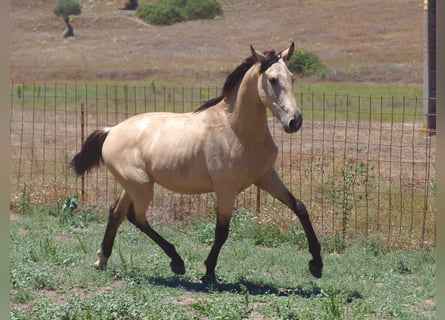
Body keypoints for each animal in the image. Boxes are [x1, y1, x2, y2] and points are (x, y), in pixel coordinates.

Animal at [72, 42, 322, 282]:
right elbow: (222, 231)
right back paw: (176, 262)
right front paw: (209, 272)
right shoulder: (226, 190)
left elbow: (300, 208)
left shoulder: (266, 177)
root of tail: (111, 130)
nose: (294, 121)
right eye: (272, 80)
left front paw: (317, 264)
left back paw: (102, 260)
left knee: (116, 213)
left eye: (292, 78)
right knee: (136, 217)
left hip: (133, 186)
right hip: (141, 187)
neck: (237, 130)